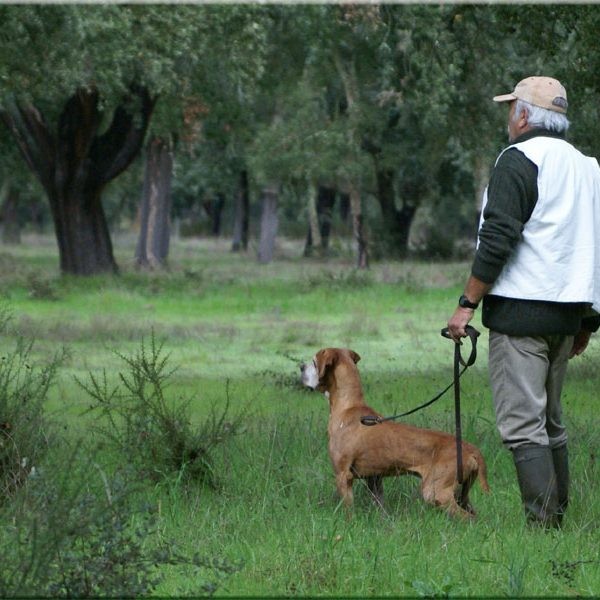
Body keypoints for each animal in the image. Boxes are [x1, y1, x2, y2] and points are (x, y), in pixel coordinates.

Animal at [300, 347, 489, 518]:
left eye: (314, 362)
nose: (301, 367)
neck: (348, 406)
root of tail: (471, 449)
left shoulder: (343, 476)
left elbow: (348, 510)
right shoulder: (374, 479)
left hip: (436, 492)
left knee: (468, 518)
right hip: (462, 494)